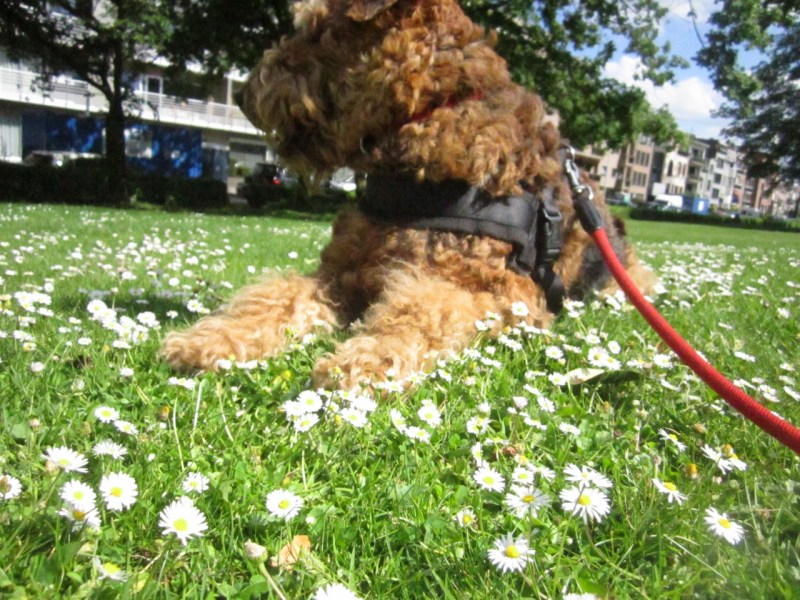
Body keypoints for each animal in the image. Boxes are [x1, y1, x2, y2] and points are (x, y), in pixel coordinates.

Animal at [161, 0, 652, 390]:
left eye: (316, 29)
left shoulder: (501, 293)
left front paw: (366, 359)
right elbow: (277, 298)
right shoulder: (338, 275)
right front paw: (210, 340)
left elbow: (424, 309)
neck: (431, 118)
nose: (244, 97)